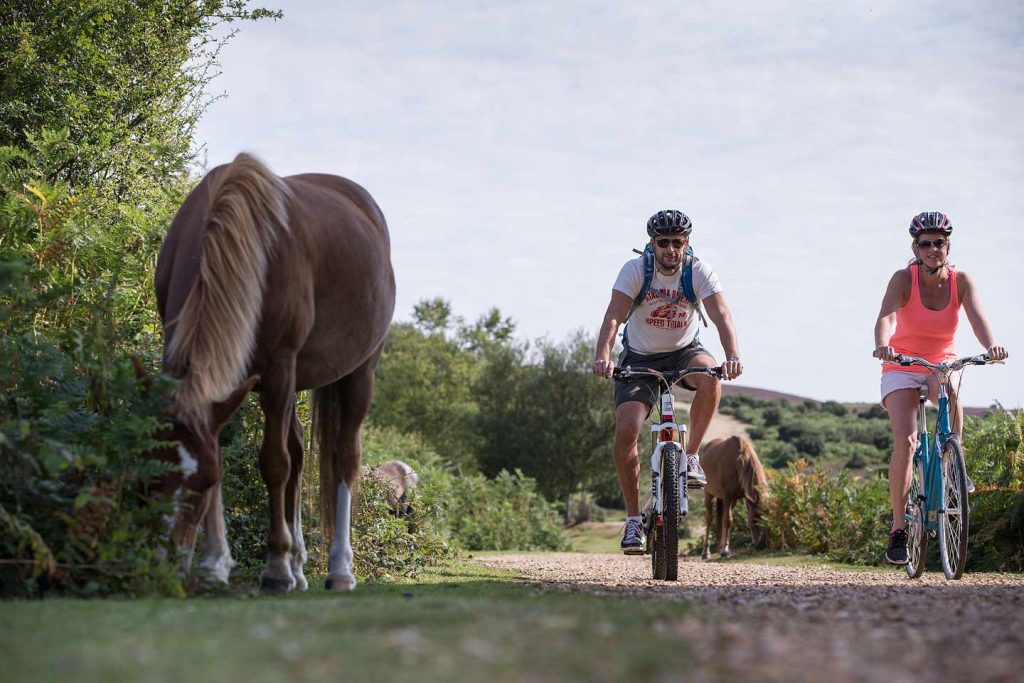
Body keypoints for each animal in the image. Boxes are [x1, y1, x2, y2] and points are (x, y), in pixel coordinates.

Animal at [153, 152, 393, 589]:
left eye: (203, 482)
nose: (164, 567)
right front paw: (215, 564)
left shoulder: (279, 369)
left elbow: (274, 463)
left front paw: (276, 567)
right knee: (298, 453)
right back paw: (299, 564)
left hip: (358, 374)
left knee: (344, 460)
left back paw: (338, 568)